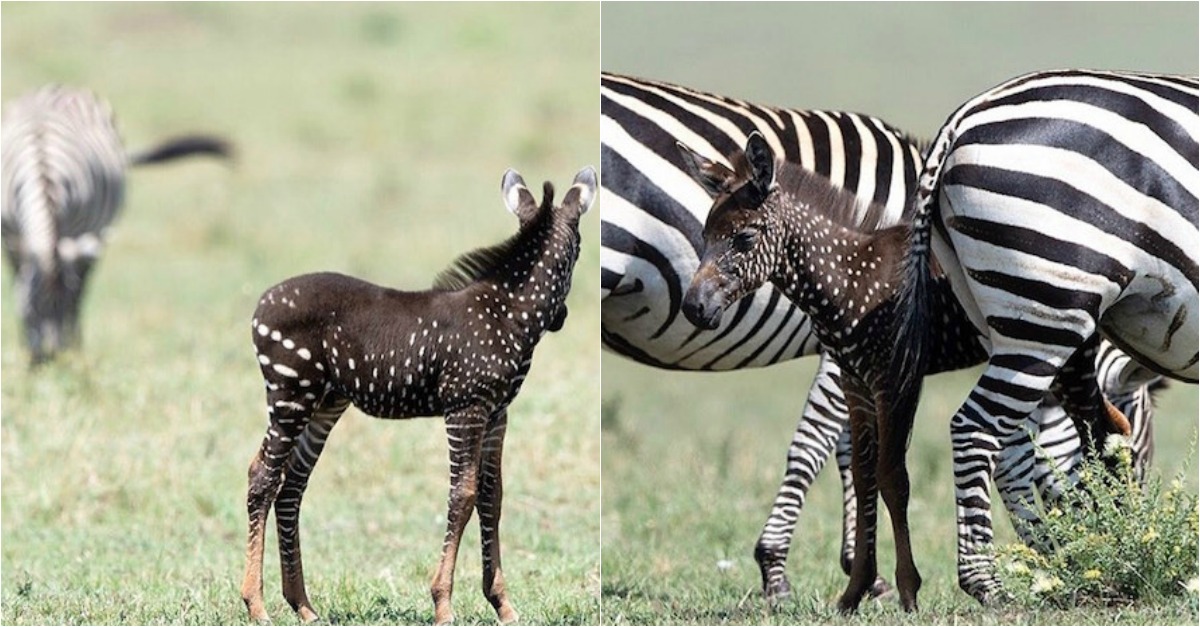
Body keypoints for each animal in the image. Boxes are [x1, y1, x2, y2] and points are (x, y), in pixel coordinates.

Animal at [0, 85, 231, 362]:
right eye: (30, 310)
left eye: (63, 308)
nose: (52, 358)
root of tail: (63, 88)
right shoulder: (12, 238)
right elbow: (18, 281)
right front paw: (26, 346)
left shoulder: (78, 234)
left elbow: (76, 293)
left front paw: (71, 344)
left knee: (84, 284)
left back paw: (77, 343)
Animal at [241, 163, 597, 619]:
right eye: (578, 253)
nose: (563, 318)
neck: (507, 314)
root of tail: (262, 303)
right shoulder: (466, 407)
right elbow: (463, 496)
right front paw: (443, 604)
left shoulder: (497, 412)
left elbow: (492, 496)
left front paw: (502, 604)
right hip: (290, 393)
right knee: (262, 477)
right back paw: (256, 605)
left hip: (324, 403)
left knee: (291, 485)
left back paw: (303, 605)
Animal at [600, 72, 1161, 600]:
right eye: (1141, 453)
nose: (1126, 530)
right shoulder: (852, 360)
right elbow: (831, 449)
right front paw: (789, 570)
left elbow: (856, 453)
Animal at [897, 68, 1195, 600]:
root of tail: (963, 117)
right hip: (1046, 308)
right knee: (976, 427)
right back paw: (988, 581)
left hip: (1016, 315)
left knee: (1066, 433)